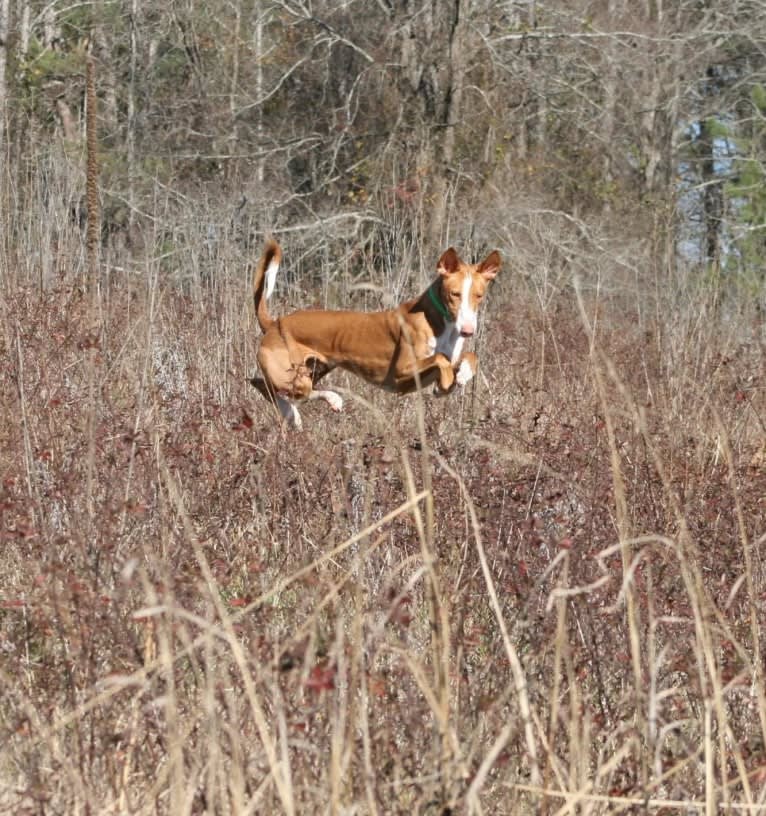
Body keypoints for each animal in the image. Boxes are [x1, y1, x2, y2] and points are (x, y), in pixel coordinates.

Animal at [252, 239, 504, 430]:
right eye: (455, 294)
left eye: (479, 295)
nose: (468, 330)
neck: (437, 322)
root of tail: (274, 323)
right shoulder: (402, 371)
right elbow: (440, 359)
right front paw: (448, 380)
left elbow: (468, 357)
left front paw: (463, 374)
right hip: (293, 375)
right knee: (284, 391)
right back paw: (327, 401)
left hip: (314, 369)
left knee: (263, 386)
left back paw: (291, 414)